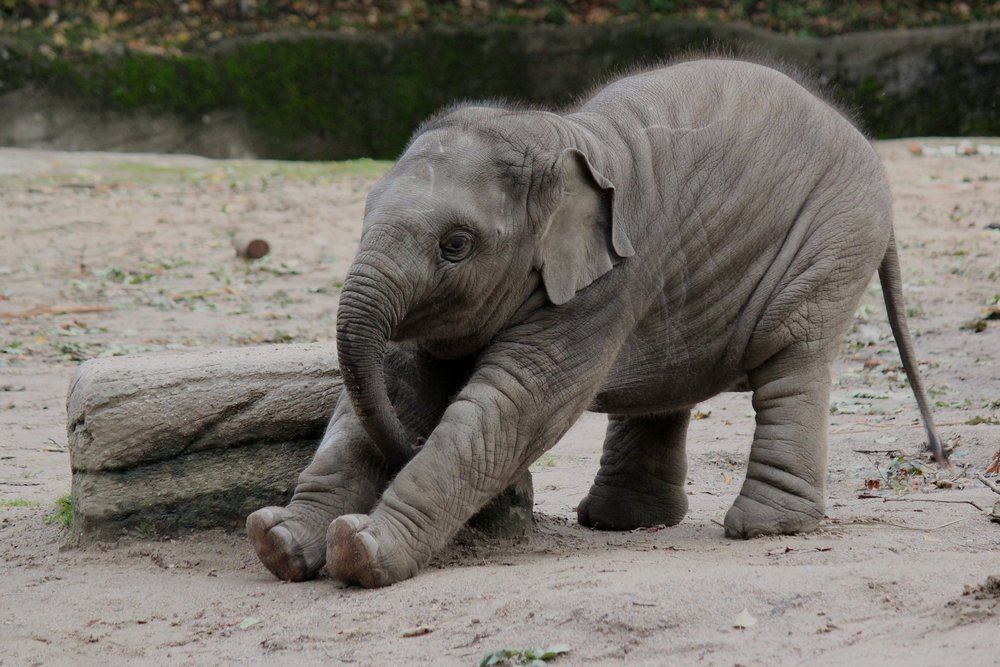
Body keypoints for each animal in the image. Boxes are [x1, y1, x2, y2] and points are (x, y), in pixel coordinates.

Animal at [248, 58, 944, 588]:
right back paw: (620, 522)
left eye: (456, 245)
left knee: (791, 361)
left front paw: (360, 550)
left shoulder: (607, 285)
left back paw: (764, 528)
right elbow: (398, 385)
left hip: (832, 240)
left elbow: (515, 404)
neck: (556, 136)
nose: (410, 445)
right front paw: (277, 541)